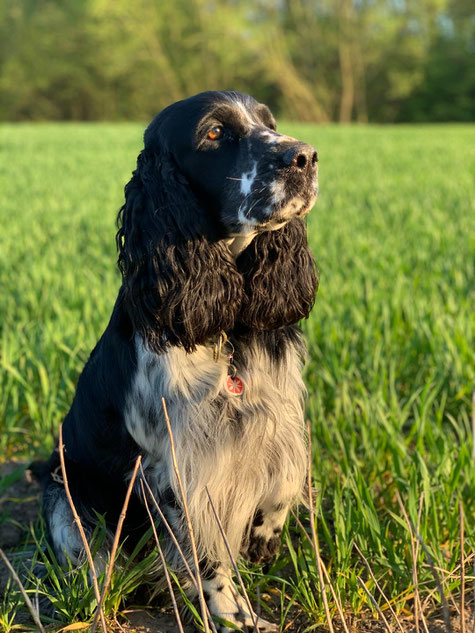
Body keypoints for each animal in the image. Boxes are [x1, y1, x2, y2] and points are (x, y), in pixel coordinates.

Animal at [38, 90, 320, 632]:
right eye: (214, 133)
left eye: (271, 123)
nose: (306, 157)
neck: (227, 333)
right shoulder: (177, 463)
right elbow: (205, 553)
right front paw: (234, 615)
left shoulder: (275, 414)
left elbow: (283, 481)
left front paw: (262, 542)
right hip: (66, 498)